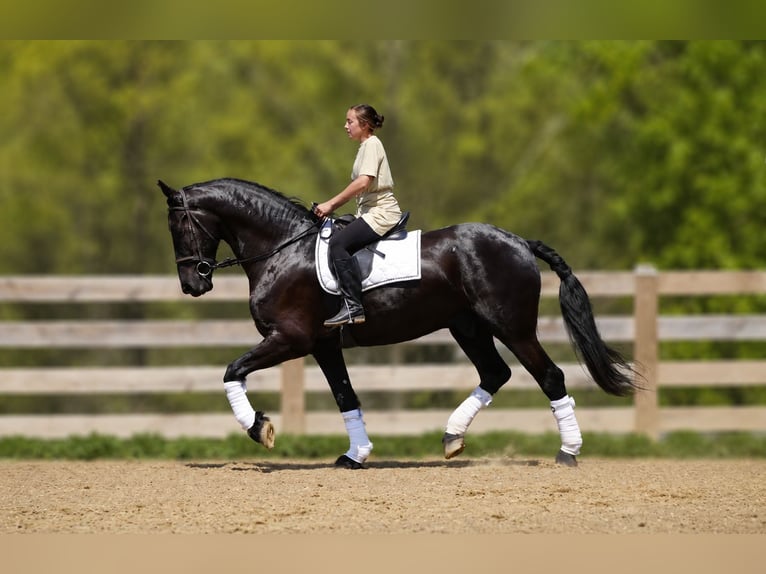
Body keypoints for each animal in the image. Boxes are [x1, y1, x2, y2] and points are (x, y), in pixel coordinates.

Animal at [159, 177, 638, 468]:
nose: (192, 284)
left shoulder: (290, 339)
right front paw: (356, 455)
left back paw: (567, 452)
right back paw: (452, 437)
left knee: (550, 376)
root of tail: (518, 241)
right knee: (495, 373)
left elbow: (232, 371)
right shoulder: (323, 345)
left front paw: (260, 429)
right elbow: (345, 396)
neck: (282, 248)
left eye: (179, 225)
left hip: (512, 326)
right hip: (467, 326)